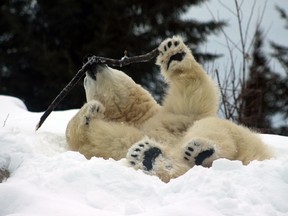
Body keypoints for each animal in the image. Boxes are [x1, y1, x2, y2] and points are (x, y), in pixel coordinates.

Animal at [66, 35, 272, 182]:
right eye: (84, 81)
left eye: (110, 65)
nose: (89, 60)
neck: (134, 116)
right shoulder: (108, 144)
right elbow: (95, 143)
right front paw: (90, 110)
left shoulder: (169, 117)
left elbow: (191, 102)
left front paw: (174, 54)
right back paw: (149, 156)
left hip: (245, 141)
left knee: (211, 127)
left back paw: (199, 151)